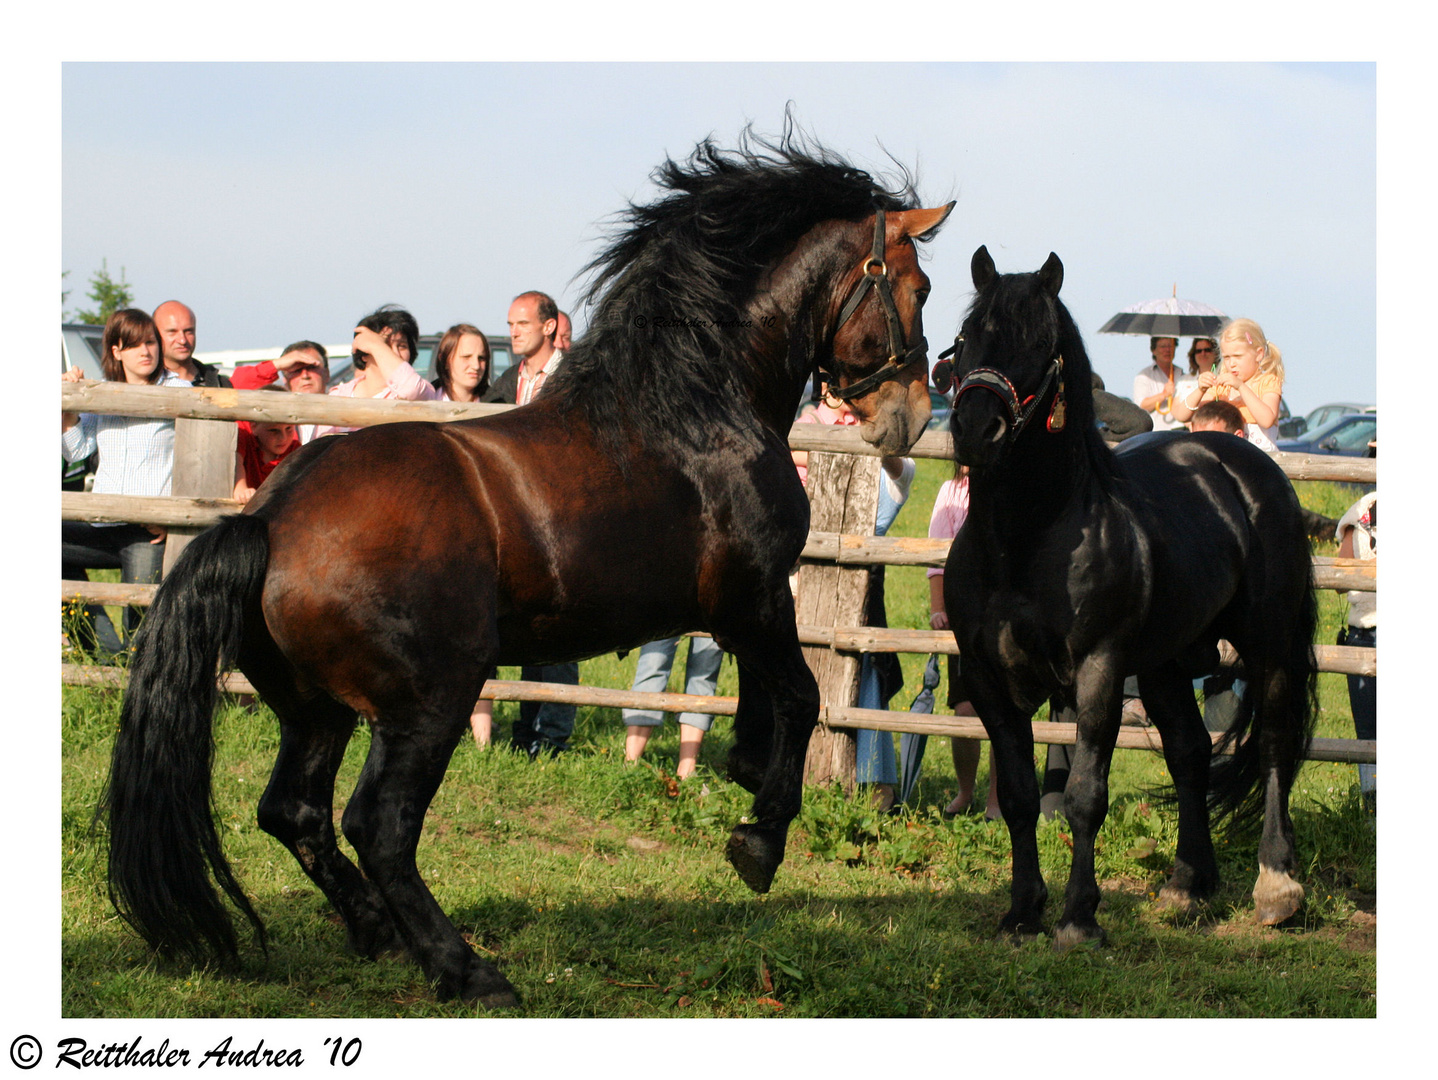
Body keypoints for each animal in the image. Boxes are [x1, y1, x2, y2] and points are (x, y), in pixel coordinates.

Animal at [104, 133, 954, 1006]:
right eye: (919, 287)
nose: (912, 417)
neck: (697, 410)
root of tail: (268, 520)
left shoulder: (736, 614)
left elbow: (764, 702)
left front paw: (749, 779)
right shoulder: (755, 601)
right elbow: (802, 696)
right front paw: (761, 839)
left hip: (317, 710)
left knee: (292, 813)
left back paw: (378, 932)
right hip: (429, 703)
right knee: (376, 826)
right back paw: (465, 969)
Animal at [937, 248, 1317, 949]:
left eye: (1041, 343)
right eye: (967, 335)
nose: (977, 430)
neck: (1028, 539)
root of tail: (1246, 466)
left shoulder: (1099, 670)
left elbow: (1085, 794)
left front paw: (1079, 918)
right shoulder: (988, 679)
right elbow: (1023, 796)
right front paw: (1022, 911)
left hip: (1269, 644)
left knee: (1275, 745)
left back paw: (1277, 887)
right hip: (1166, 662)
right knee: (1191, 753)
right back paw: (1185, 885)